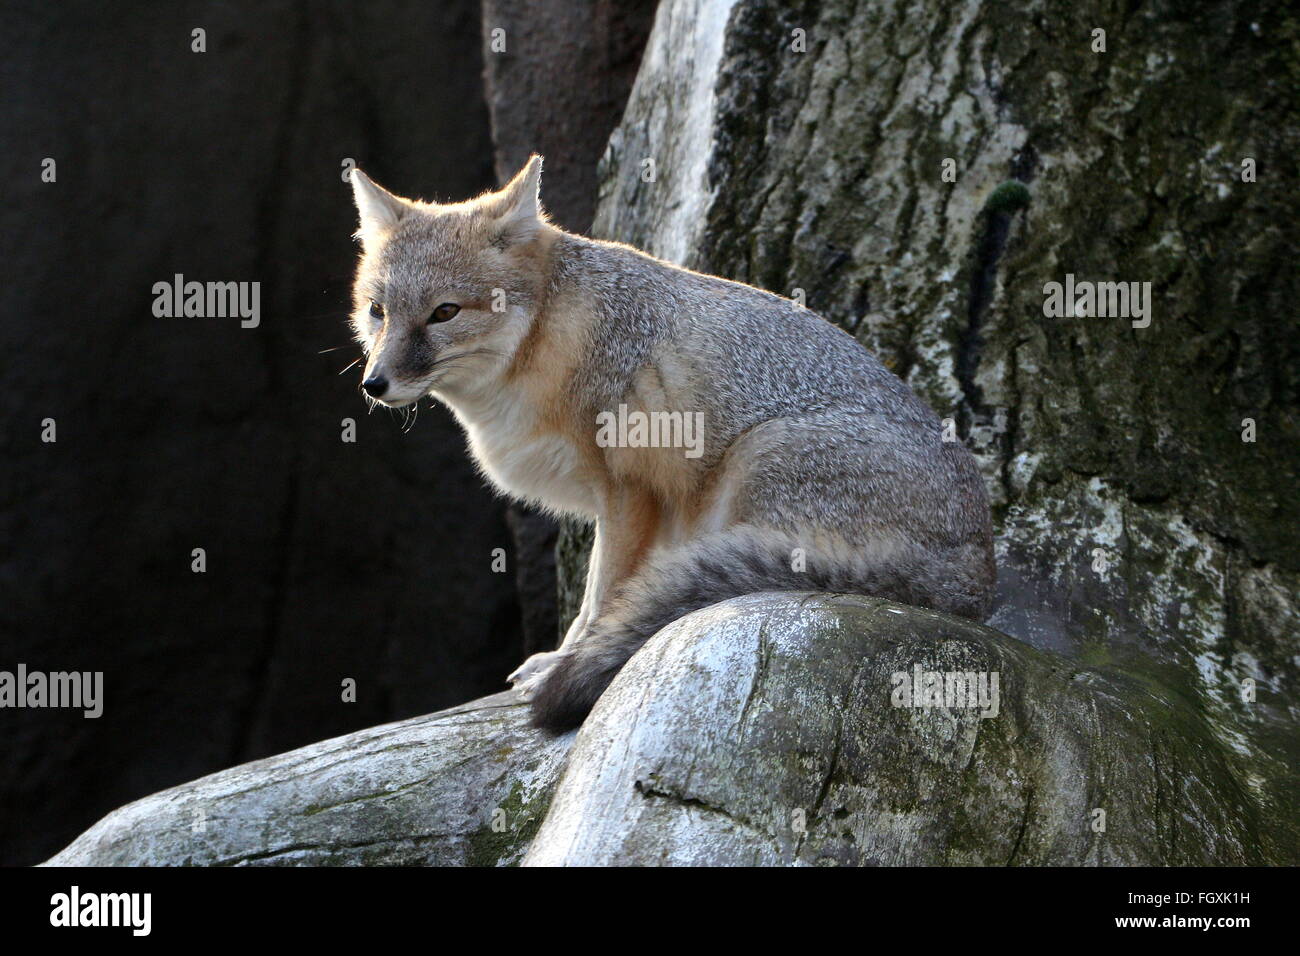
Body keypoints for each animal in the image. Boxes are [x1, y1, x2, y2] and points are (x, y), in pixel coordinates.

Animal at [345, 155, 993, 733]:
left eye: (444, 313)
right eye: (377, 311)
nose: (374, 384)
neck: (550, 336)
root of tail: (978, 565)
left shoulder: (630, 492)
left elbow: (603, 596)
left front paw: (564, 662)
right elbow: (604, 599)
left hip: (758, 459)